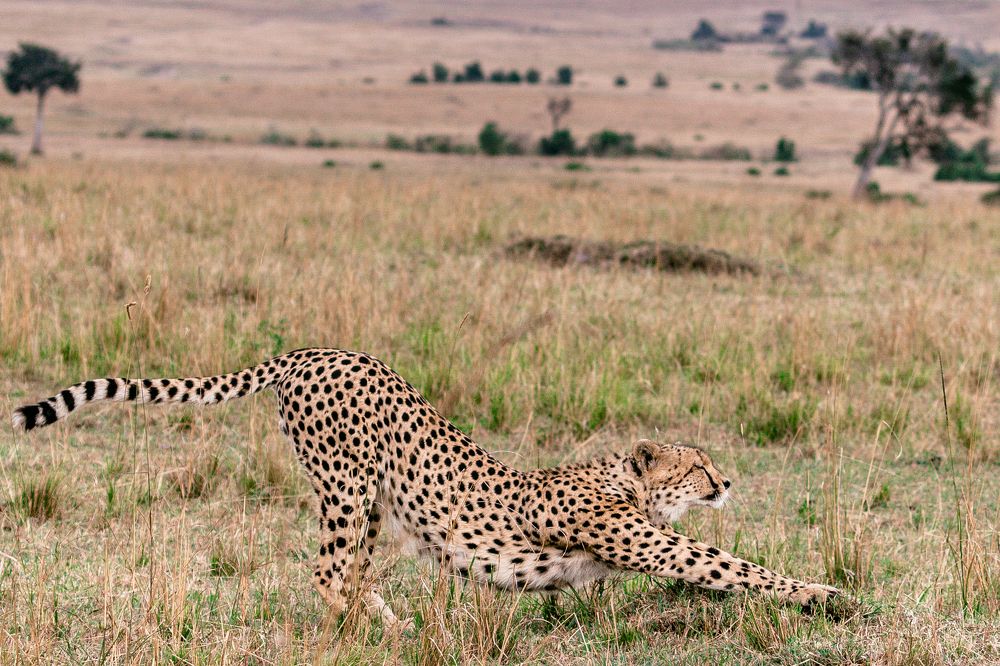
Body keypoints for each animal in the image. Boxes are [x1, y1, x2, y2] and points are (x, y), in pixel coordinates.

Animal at [11, 348, 837, 626]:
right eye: (696, 466)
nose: (727, 479)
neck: (623, 483)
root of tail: (313, 350)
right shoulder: (648, 542)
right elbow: (732, 565)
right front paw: (826, 594)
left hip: (376, 499)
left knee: (349, 569)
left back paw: (379, 617)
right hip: (346, 486)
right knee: (326, 571)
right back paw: (385, 628)